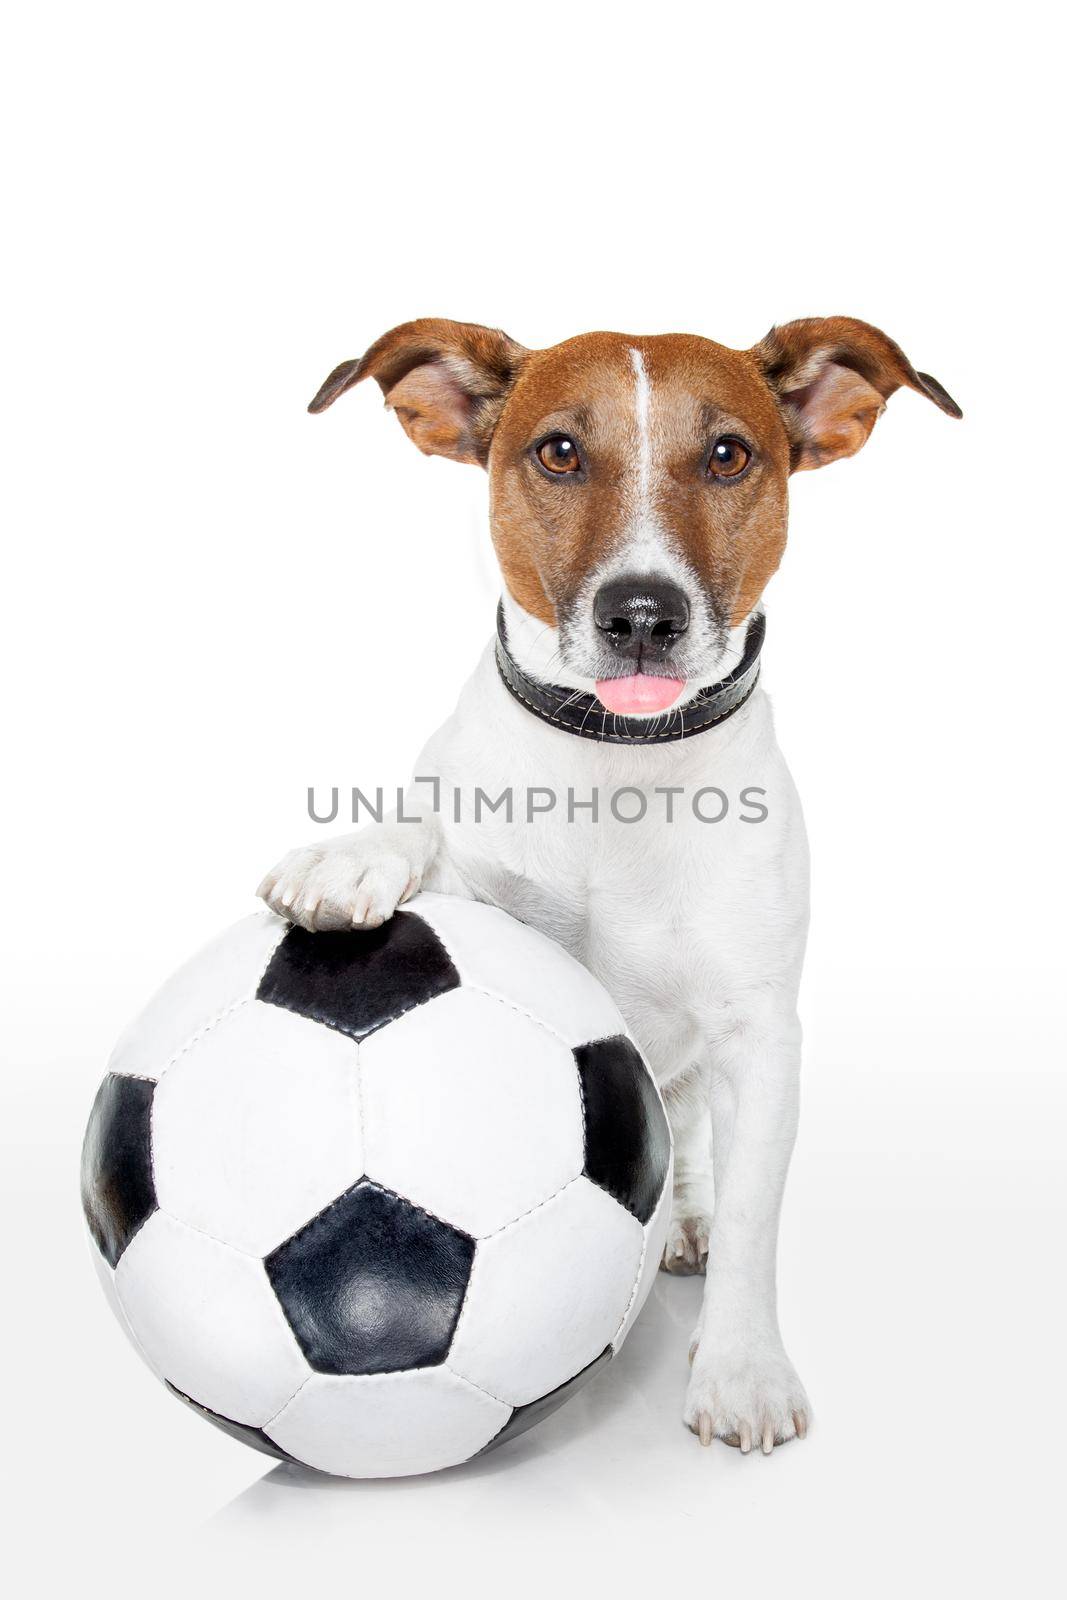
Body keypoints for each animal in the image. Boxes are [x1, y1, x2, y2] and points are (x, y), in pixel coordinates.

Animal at [259, 312, 959, 1452]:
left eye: (726, 455)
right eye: (556, 451)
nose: (641, 613)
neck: (615, 769)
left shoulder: (758, 1038)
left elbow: (755, 1214)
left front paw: (741, 1366)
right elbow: (425, 822)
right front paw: (350, 854)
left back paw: (683, 1225)